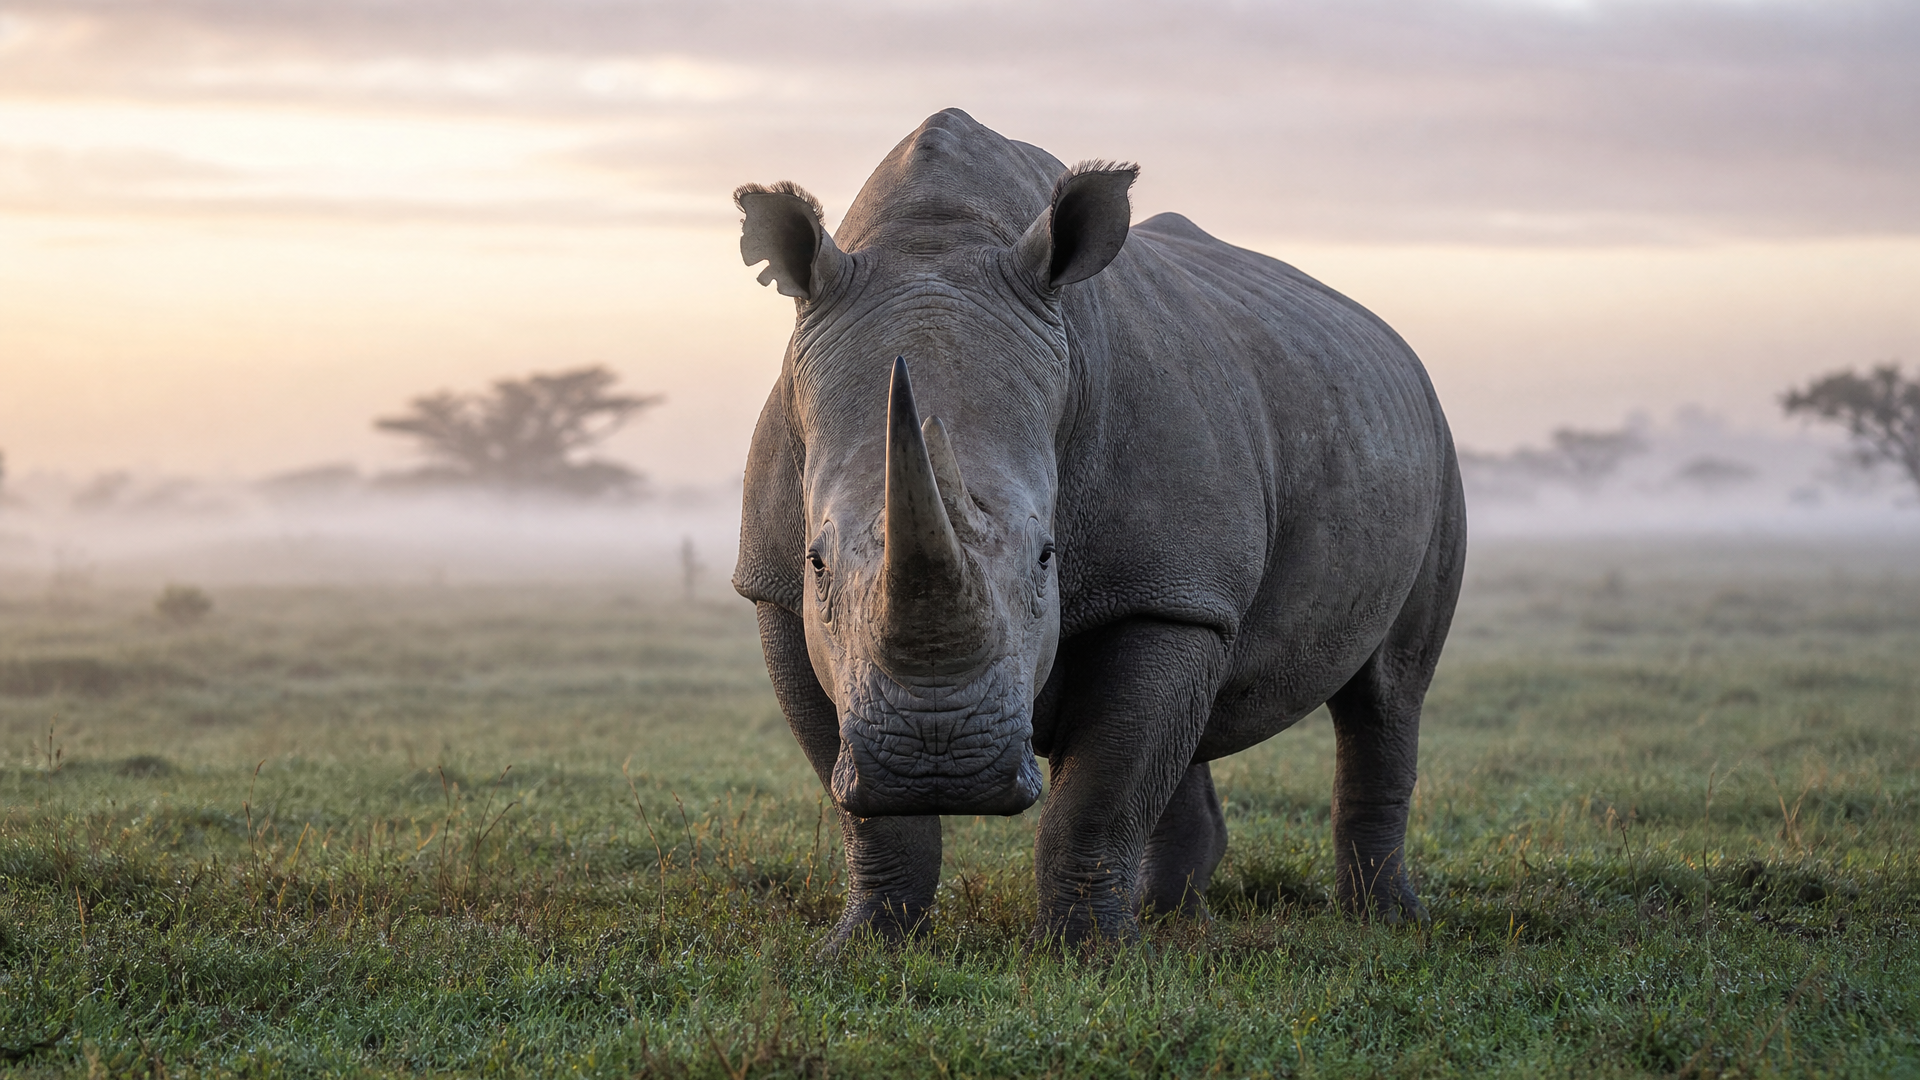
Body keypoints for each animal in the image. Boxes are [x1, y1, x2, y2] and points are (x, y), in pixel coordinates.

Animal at [733, 109, 1465, 948]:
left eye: (1048, 559)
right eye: (817, 562)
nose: (938, 762)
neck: (932, 244)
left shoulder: (1168, 587)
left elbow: (1103, 791)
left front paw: (1090, 954)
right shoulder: (774, 588)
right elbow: (865, 807)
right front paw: (864, 946)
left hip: (1431, 441)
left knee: (1388, 691)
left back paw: (1386, 923)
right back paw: (1173, 914)